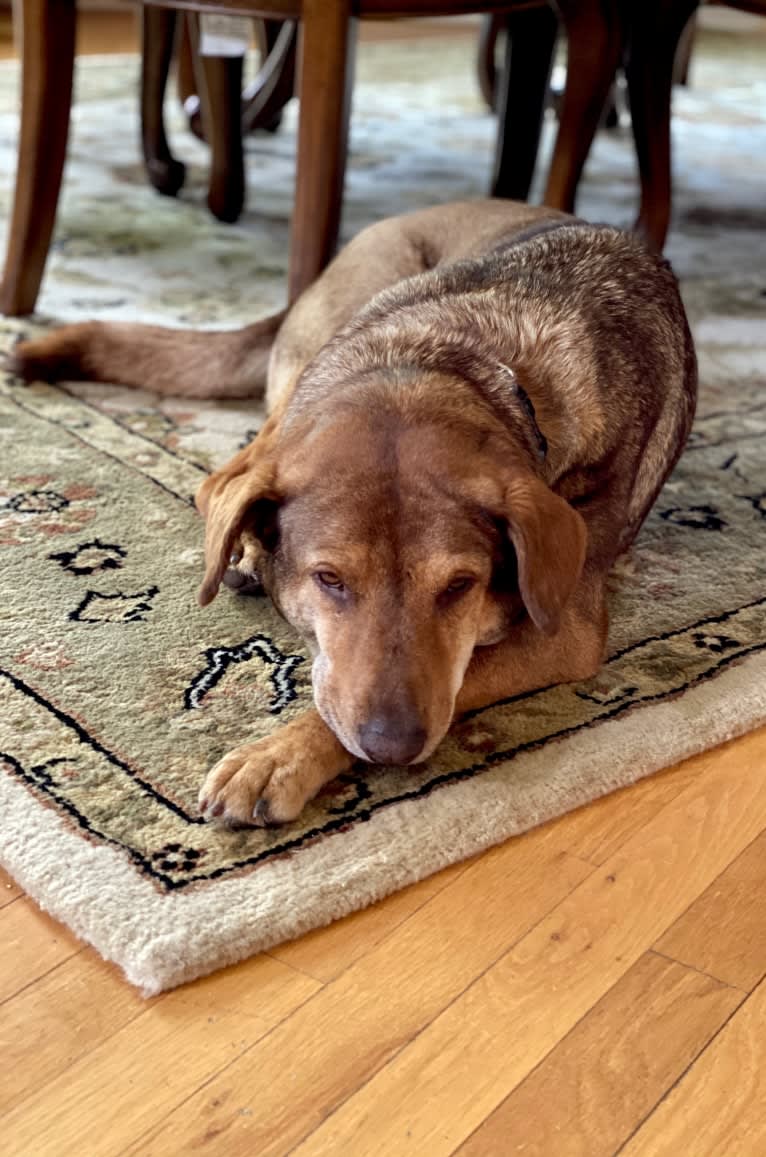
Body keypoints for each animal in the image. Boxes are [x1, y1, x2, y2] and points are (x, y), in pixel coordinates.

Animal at [12, 203, 698, 828]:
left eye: (460, 587)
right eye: (329, 580)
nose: (392, 747)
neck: (463, 361)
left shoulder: (561, 630)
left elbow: (444, 679)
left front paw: (280, 757)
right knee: (222, 482)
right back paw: (244, 551)